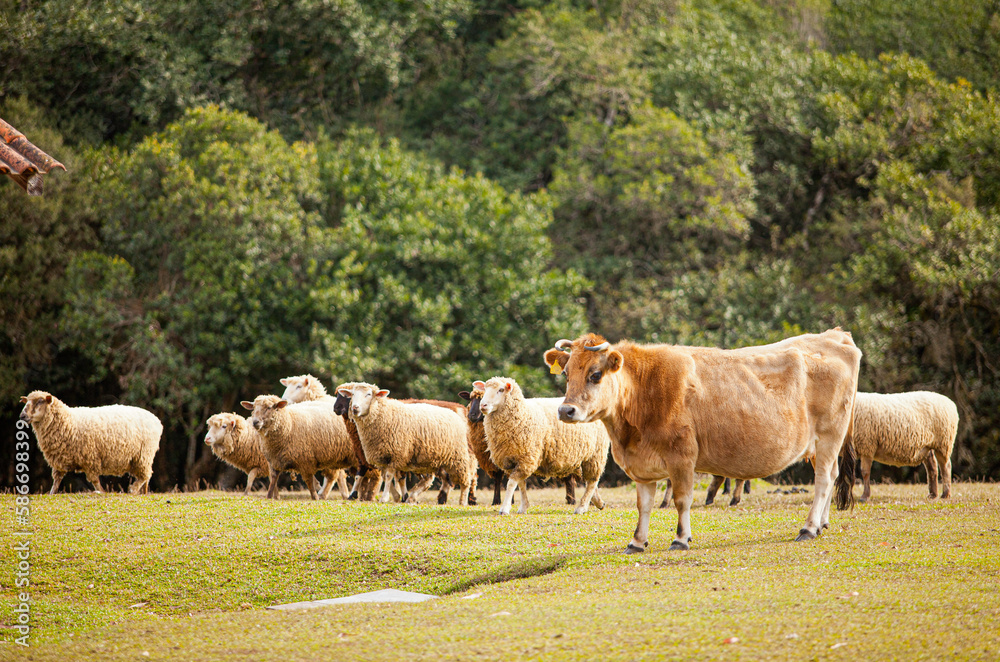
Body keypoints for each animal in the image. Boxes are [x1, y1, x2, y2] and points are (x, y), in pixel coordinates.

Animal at [19, 392, 161, 496]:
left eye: (40, 401)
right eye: (27, 402)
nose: (22, 416)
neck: (68, 422)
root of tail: (156, 419)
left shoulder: (90, 458)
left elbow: (94, 480)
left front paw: (102, 492)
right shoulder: (59, 459)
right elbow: (56, 480)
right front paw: (52, 493)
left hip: (143, 456)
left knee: (144, 476)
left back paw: (133, 489)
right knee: (146, 478)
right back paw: (142, 492)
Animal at [336, 382, 476, 506]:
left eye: (369, 394)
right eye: (352, 394)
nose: (354, 408)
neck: (383, 415)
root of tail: (455, 413)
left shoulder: (396, 454)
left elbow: (389, 476)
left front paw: (385, 498)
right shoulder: (383, 457)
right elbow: (387, 477)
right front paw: (399, 497)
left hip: (458, 457)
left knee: (466, 479)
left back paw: (463, 501)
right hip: (436, 460)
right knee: (439, 479)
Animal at [476, 378, 608, 520]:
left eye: (501, 390)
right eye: (485, 389)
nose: (483, 405)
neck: (523, 413)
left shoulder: (526, 458)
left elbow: (511, 484)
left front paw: (504, 508)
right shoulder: (513, 460)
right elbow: (521, 484)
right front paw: (523, 507)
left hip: (596, 453)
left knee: (592, 481)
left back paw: (581, 507)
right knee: (589, 481)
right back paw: (598, 502)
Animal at [544, 330, 864, 552]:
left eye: (595, 375)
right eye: (566, 374)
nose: (565, 410)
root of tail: (835, 335)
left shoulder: (682, 456)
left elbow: (682, 499)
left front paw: (681, 539)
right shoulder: (642, 465)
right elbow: (643, 505)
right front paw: (637, 542)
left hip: (829, 435)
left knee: (823, 480)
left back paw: (808, 528)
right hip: (821, 445)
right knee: (833, 475)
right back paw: (821, 524)